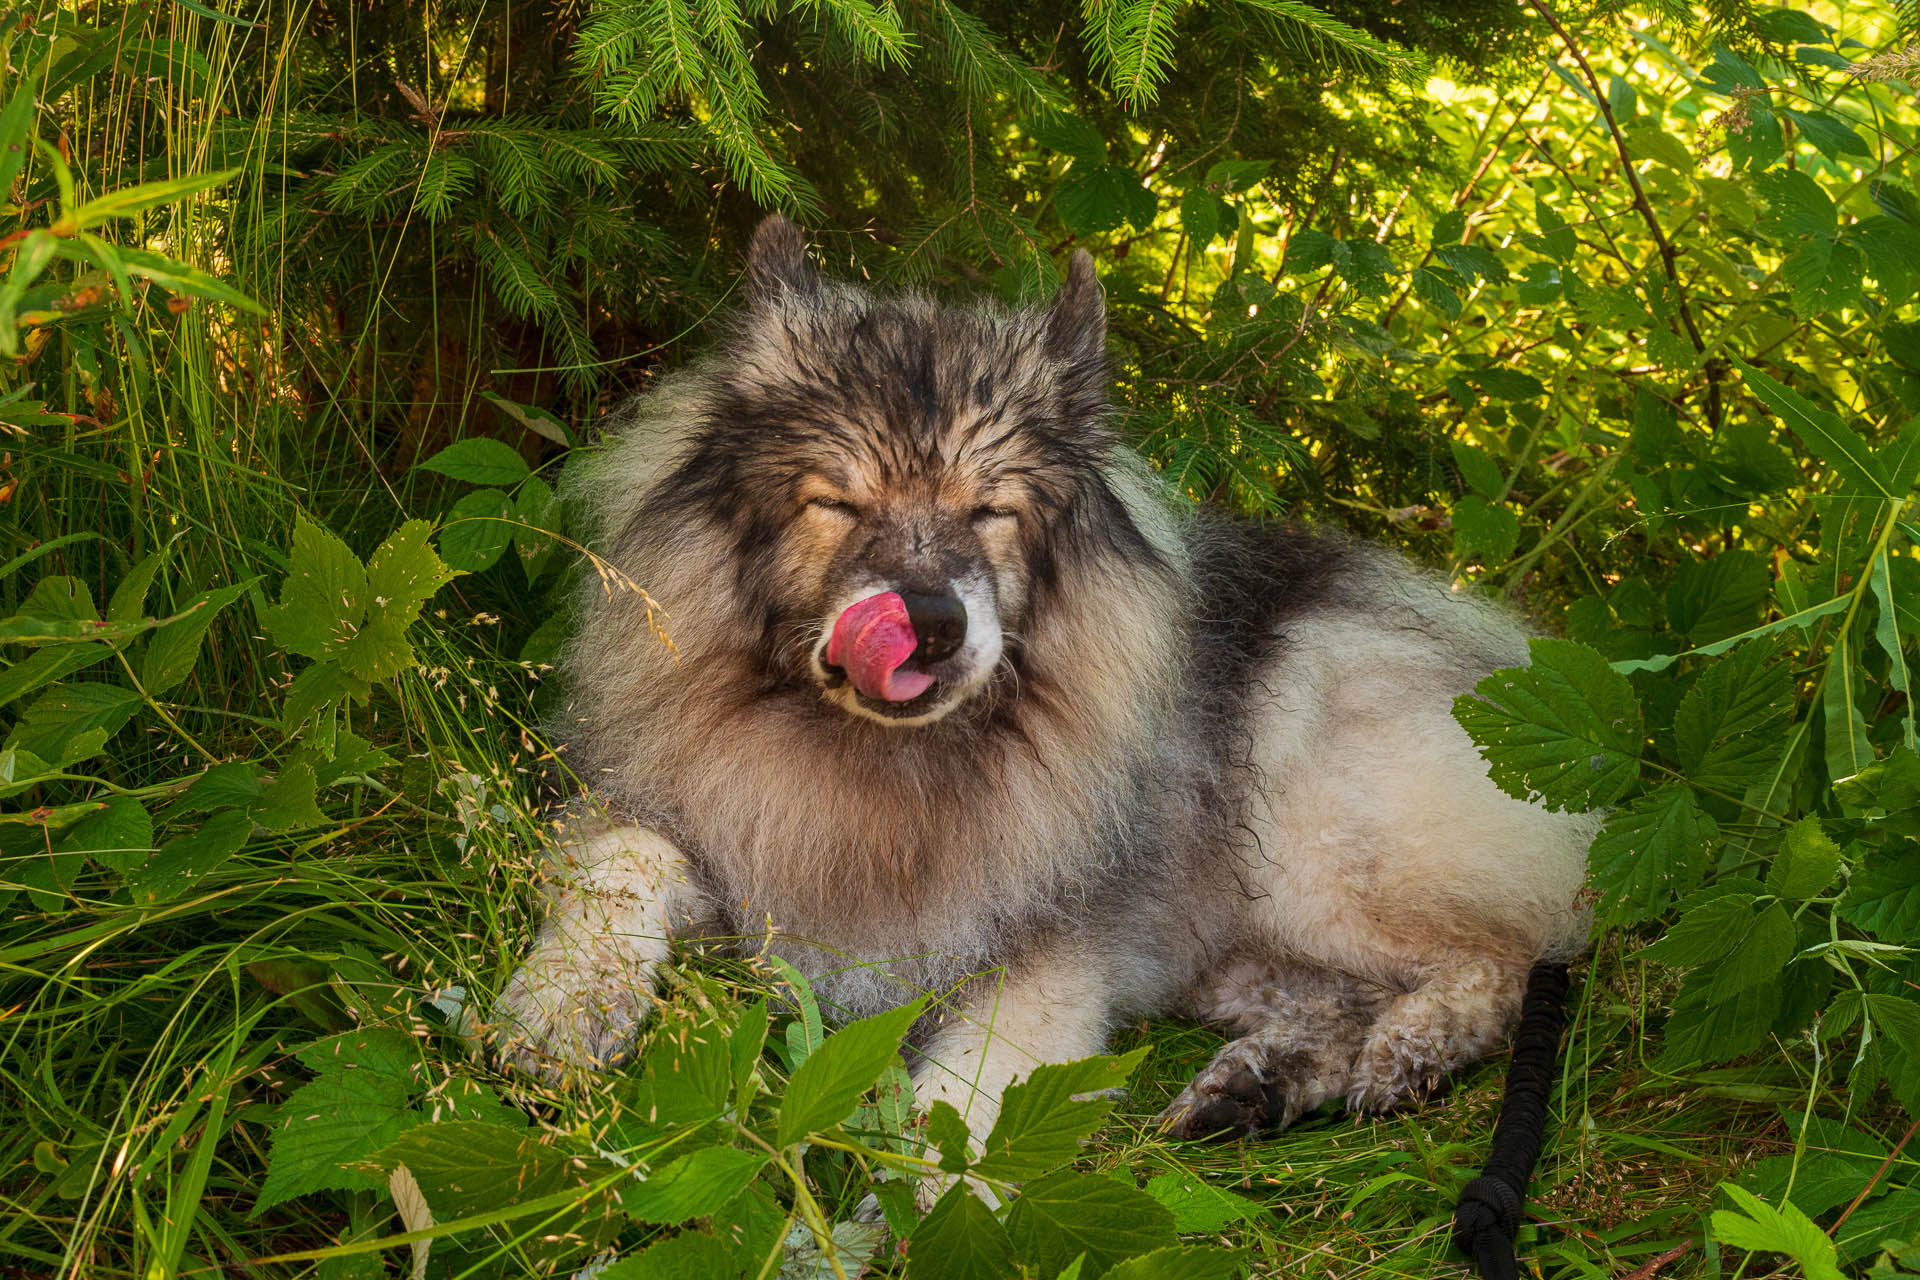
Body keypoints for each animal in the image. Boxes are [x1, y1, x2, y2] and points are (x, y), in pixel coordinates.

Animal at [491, 217, 1589, 1151]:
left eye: (990, 511)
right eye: (837, 503)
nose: (931, 622)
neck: (878, 765)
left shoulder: (1047, 959)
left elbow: (961, 1106)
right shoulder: (670, 816)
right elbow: (626, 859)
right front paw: (564, 1004)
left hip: (1311, 839)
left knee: (1515, 951)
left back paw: (1409, 1048)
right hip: (1239, 941)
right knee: (1326, 994)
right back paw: (1257, 1084)